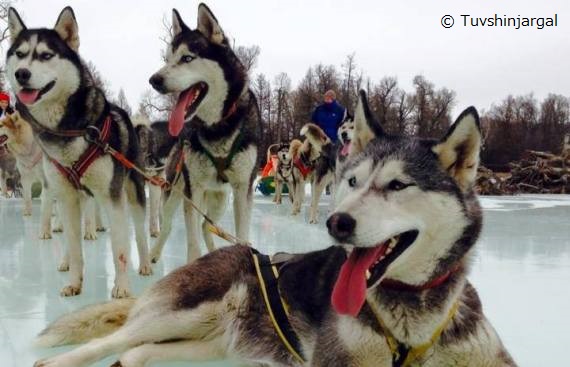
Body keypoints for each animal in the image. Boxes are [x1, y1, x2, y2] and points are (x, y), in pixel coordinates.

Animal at [146, 2, 258, 262]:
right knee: (168, 225)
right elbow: (192, 244)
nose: (154, 80)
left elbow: (242, 237)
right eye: (167, 59)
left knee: (206, 225)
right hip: (176, 190)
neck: (216, 128)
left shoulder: (242, 190)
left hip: (220, 200)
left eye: (187, 58)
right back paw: (154, 254)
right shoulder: (193, 189)